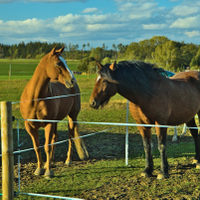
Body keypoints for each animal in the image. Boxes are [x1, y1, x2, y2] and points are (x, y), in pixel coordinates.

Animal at [20, 46, 88, 178]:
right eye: (58, 63)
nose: (71, 80)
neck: (36, 98)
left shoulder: (48, 124)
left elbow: (46, 146)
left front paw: (48, 172)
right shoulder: (30, 126)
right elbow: (37, 147)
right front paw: (40, 168)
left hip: (72, 117)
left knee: (70, 137)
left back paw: (68, 160)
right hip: (55, 121)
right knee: (54, 139)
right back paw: (50, 161)